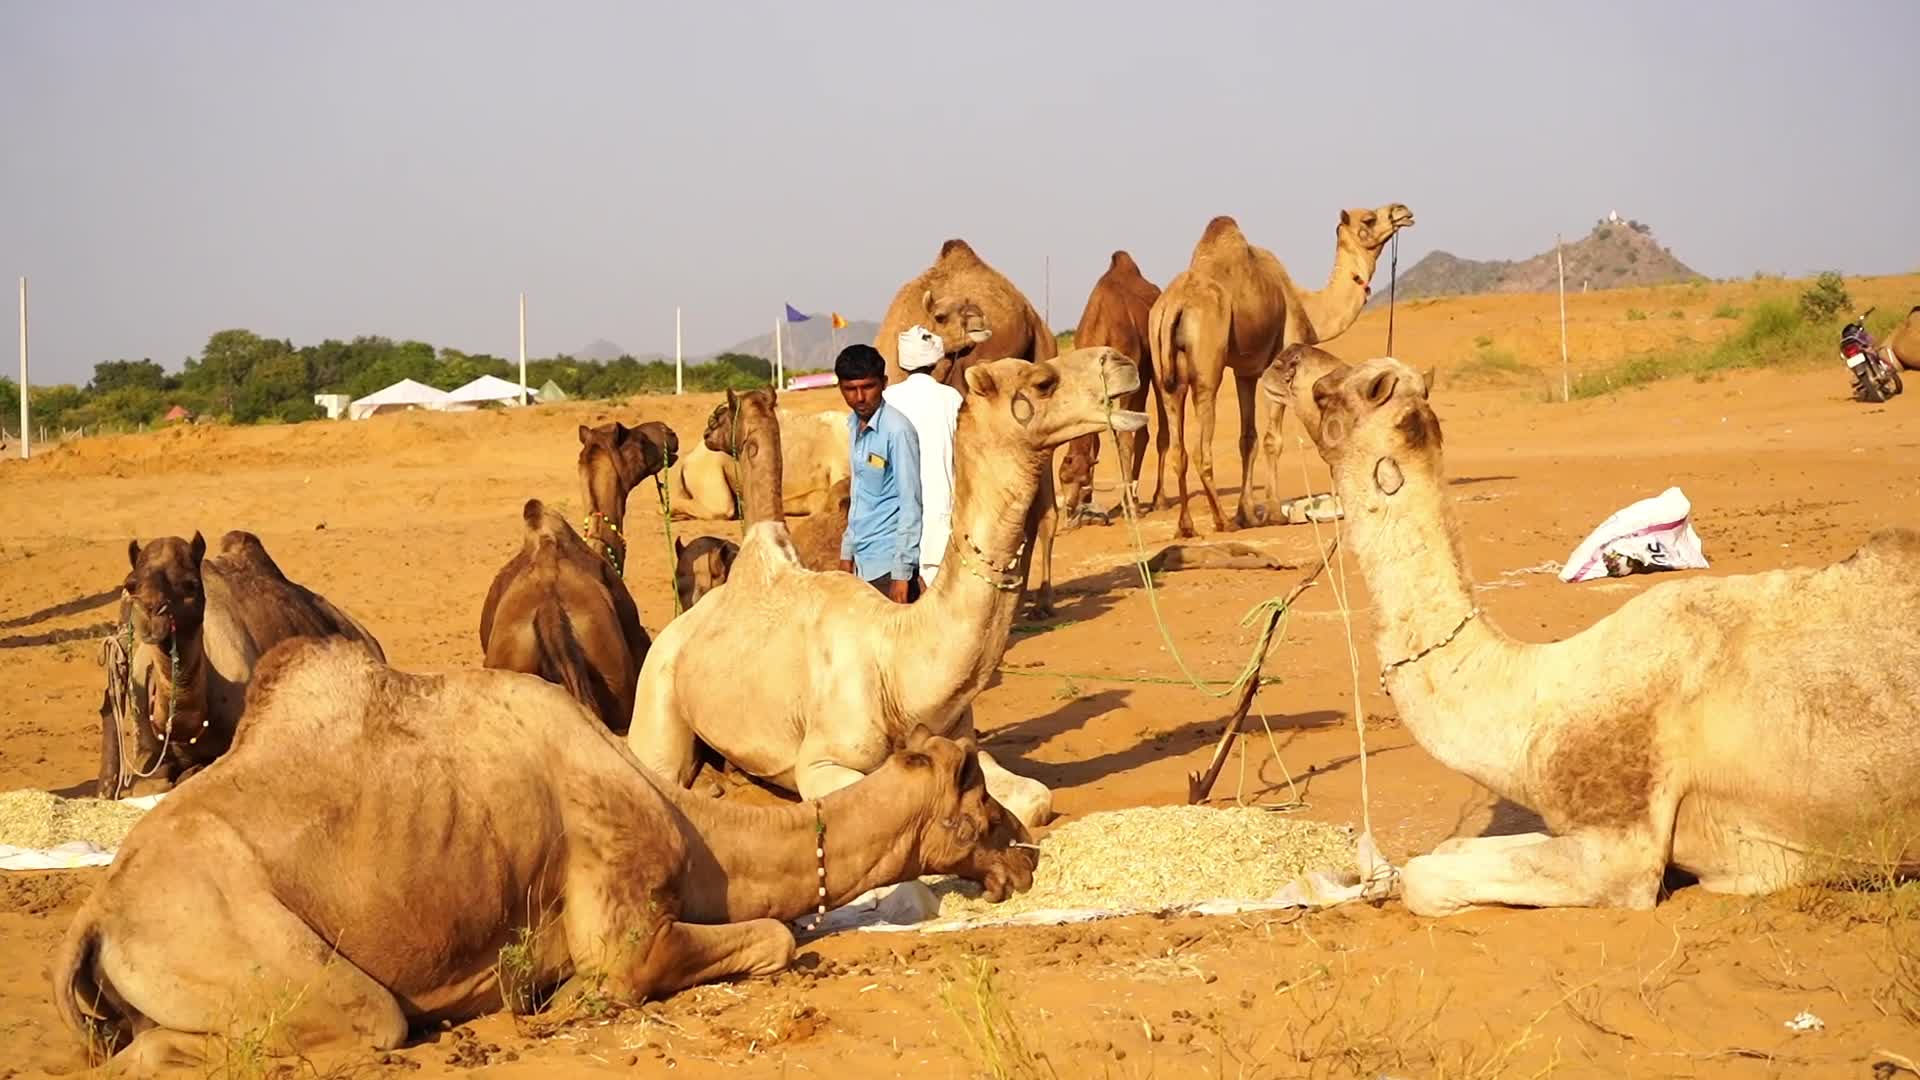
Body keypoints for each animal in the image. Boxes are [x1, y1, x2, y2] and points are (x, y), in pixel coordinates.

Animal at [54, 637, 1034, 1073]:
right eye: (978, 792)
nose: (1025, 857)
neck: (695, 831)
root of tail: (97, 915)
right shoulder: (628, 924)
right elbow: (771, 937)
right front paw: (564, 999)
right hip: (250, 951)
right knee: (345, 1025)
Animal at [627, 349, 1147, 831]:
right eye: (1042, 382)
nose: (1121, 361)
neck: (896, 664)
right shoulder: (821, 762)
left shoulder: (964, 741)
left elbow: (1036, 797)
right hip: (657, 683)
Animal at [1071, 250, 1167, 509]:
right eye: (1062, 479)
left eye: (1081, 480)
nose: (1070, 508)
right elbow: (1099, 437)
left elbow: (1124, 437)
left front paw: (1129, 502)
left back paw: (1156, 499)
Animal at [1149, 204, 1414, 537]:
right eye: (1368, 218)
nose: (1402, 211)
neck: (1306, 305)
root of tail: (1174, 305)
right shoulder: (1276, 365)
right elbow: (1272, 440)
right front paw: (1273, 514)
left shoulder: (1245, 371)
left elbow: (1247, 439)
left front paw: (1247, 515)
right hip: (1207, 366)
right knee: (1200, 446)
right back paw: (1221, 521)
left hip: (1166, 370)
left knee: (1178, 447)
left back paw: (1186, 526)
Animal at [1304, 356, 1920, 917]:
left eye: (1326, 388)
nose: (1289, 360)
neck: (1535, 700)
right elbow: (1452, 846)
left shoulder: (1622, 844)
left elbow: (1424, 878)